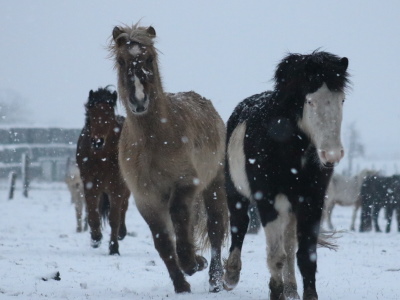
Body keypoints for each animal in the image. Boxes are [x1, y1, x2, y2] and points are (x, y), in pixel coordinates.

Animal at [75, 86, 130, 255]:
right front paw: (95, 238)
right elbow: (93, 214)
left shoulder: (117, 186)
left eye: (109, 115)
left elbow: (114, 217)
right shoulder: (90, 184)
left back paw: (121, 233)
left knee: (124, 208)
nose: (97, 141)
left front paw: (114, 248)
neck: (102, 157)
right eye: (91, 114)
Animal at [108, 24, 228, 292]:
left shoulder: (186, 184)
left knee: (215, 229)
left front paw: (192, 263)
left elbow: (180, 219)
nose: (139, 101)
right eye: (121, 61)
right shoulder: (145, 199)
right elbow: (163, 241)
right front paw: (181, 283)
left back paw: (215, 278)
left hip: (213, 185)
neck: (154, 141)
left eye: (149, 59)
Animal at [223, 51, 348, 300]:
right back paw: (231, 276)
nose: (332, 154)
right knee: (240, 225)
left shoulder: (312, 200)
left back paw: (291, 289)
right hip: (236, 192)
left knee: (289, 243)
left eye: (342, 100)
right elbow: (275, 256)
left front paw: (306, 294)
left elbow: (305, 256)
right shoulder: (267, 200)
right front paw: (275, 291)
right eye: (310, 101)